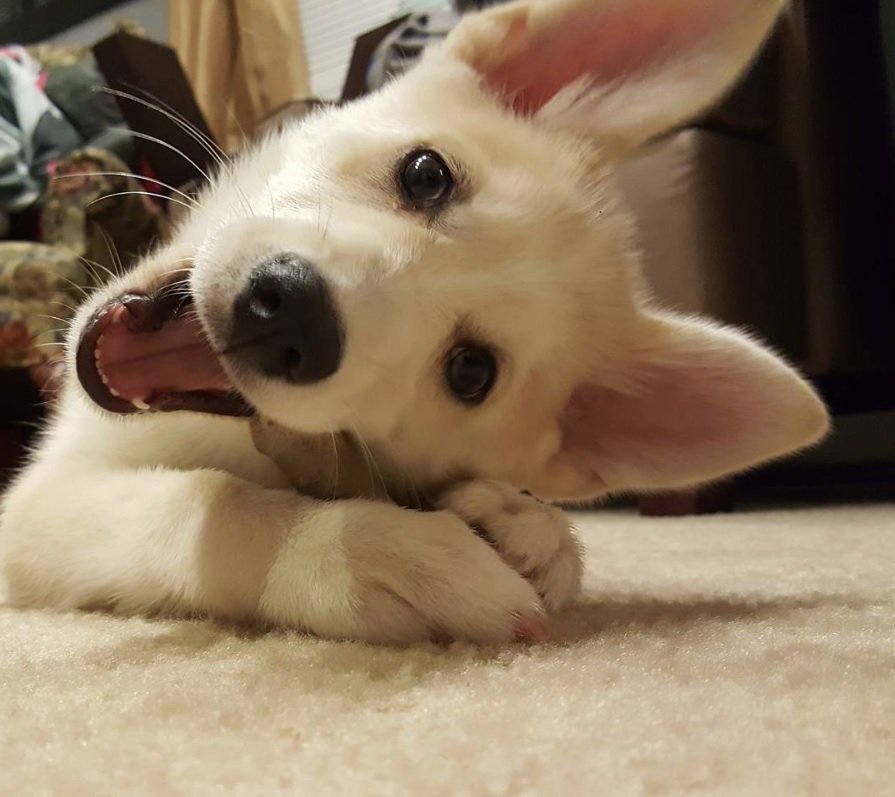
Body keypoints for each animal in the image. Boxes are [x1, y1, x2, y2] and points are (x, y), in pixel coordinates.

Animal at [0, 0, 828, 644]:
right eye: (426, 174)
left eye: (470, 371)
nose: (287, 315)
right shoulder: (38, 501)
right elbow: (211, 498)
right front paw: (370, 552)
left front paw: (530, 525)